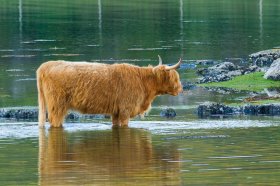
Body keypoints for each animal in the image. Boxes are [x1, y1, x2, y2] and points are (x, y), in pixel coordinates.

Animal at [36, 55, 182, 128]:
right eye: (174, 77)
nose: (180, 88)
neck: (143, 82)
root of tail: (45, 65)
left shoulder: (116, 112)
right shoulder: (125, 111)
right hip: (57, 106)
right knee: (54, 121)